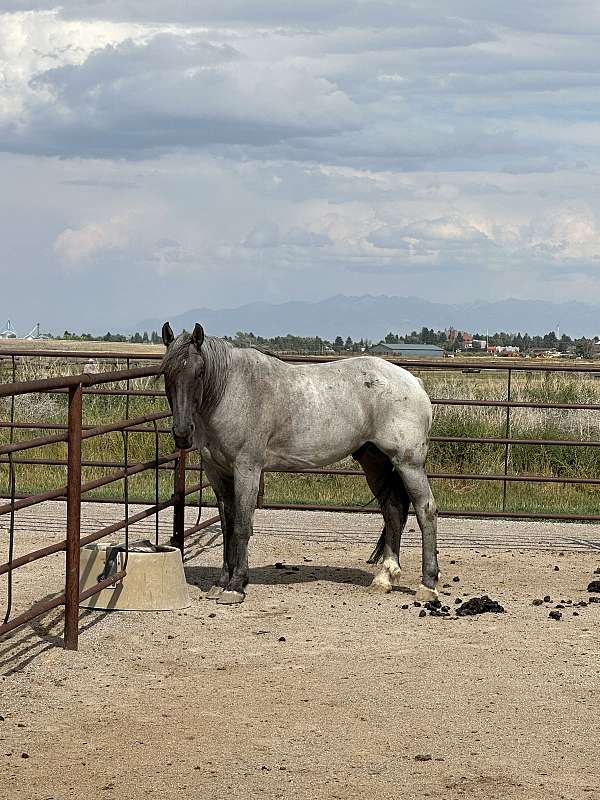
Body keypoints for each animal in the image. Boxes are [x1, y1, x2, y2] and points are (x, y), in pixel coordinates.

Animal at [162, 322, 438, 604]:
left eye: (199, 372)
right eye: (166, 371)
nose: (182, 433)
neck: (234, 391)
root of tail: (413, 381)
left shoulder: (246, 469)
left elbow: (241, 527)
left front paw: (236, 586)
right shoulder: (217, 473)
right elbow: (227, 526)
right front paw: (221, 583)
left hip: (408, 463)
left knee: (426, 509)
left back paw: (428, 584)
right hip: (375, 461)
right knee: (393, 509)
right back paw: (385, 578)